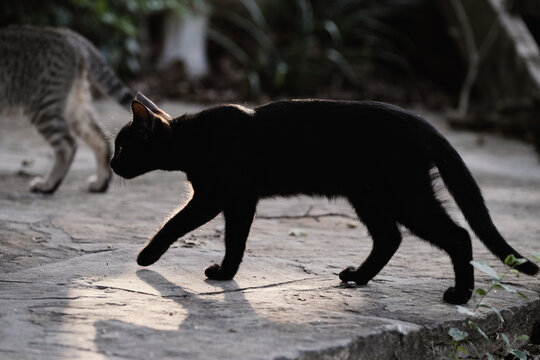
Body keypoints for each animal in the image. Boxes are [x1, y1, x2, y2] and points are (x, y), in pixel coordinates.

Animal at [0, 24, 133, 194]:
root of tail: (70, 35)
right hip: (74, 103)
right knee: (100, 137)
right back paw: (100, 183)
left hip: (44, 103)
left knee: (67, 144)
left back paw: (48, 184)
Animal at [112, 93, 536, 304]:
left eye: (122, 146)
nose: (113, 164)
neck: (194, 139)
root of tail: (423, 122)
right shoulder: (232, 199)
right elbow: (230, 236)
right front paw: (226, 272)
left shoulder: (222, 197)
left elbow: (182, 225)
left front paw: (149, 257)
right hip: (367, 195)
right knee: (390, 237)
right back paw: (358, 277)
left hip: (404, 195)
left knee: (458, 236)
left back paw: (460, 296)